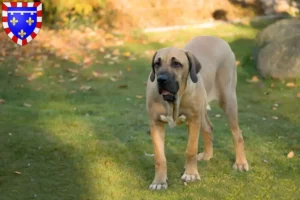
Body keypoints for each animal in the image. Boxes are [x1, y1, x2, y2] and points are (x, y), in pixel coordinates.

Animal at [145, 36, 248, 191]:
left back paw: (241, 162)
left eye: (176, 64)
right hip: (202, 109)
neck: (174, 100)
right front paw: (159, 181)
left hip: (228, 99)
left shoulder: (193, 121)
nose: (161, 79)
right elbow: (159, 156)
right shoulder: (155, 123)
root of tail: (217, 38)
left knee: (237, 133)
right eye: (157, 64)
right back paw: (208, 154)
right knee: (208, 127)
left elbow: (191, 150)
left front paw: (191, 174)